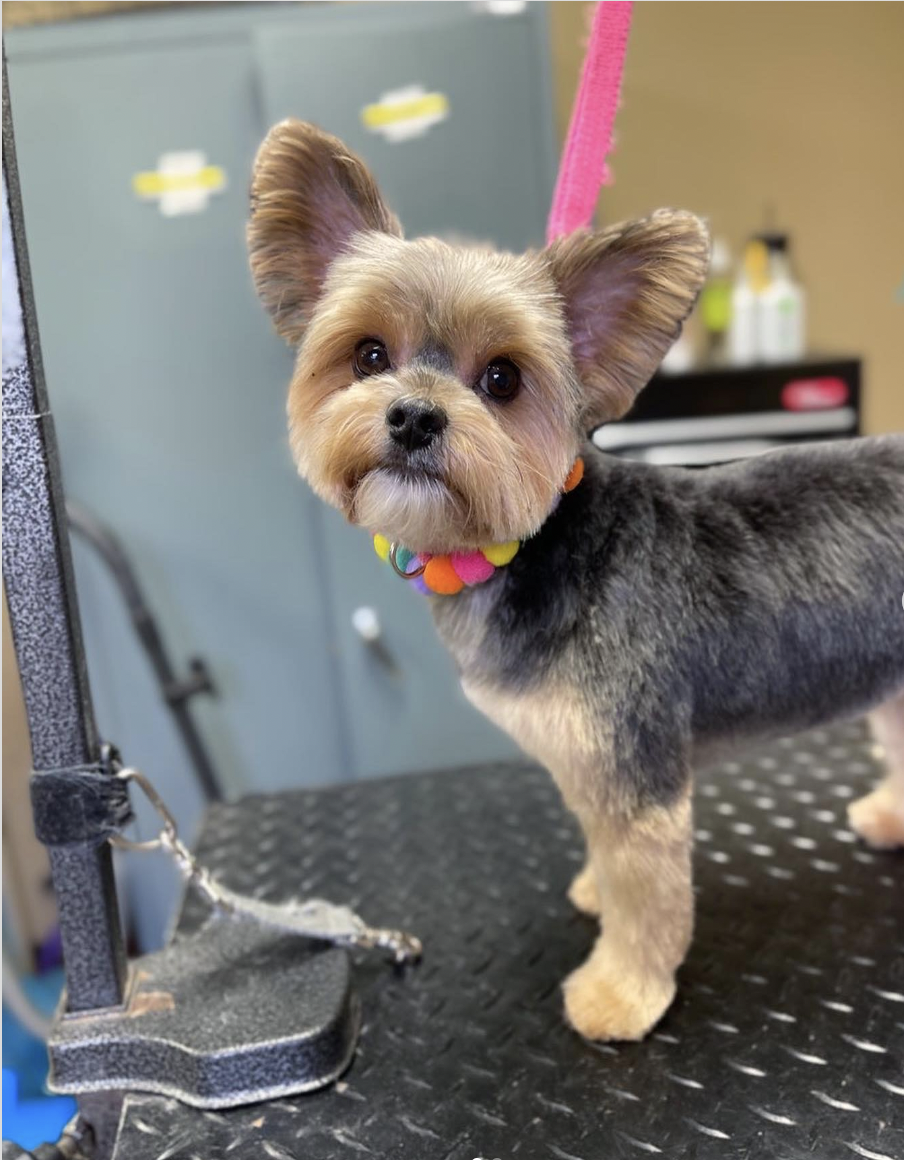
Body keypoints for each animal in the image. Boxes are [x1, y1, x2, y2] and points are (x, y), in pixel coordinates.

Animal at [249, 122, 904, 1048]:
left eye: (503, 378)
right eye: (368, 355)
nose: (412, 415)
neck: (530, 547)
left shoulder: (637, 770)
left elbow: (649, 900)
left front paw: (620, 993)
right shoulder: (587, 757)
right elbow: (610, 859)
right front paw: (598, 893)